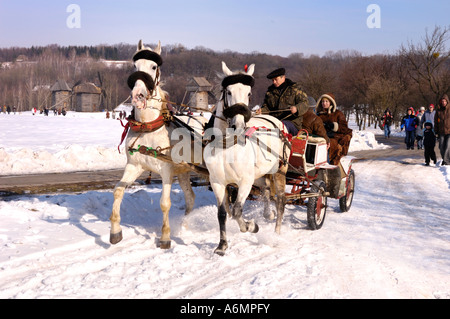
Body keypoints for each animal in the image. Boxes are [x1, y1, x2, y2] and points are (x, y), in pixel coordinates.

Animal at [109, 40, 202, 250]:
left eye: (153, 67)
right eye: (135, 66)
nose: (138, 95)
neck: (147, 127)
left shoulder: (166, 170)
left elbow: (164, 203)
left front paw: (165, 237)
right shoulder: (134, 165)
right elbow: (118, 191)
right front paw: (115, 231)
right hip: (184, 170)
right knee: (191, 198)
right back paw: (184, 225)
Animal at [205, 62, 292, 258]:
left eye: (249, 93)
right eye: (228, 91)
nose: (238, 125)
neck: (226, 146)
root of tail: (277, 121)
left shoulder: (245, 181)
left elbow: (237, 211)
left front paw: (251, 226)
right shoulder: (217, 182)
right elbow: (222, 213)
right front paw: (222, 245)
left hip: (279, 171)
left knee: (280, 200)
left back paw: (276, 232)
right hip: (260, 175)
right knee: (266, 190)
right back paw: (268, 214)